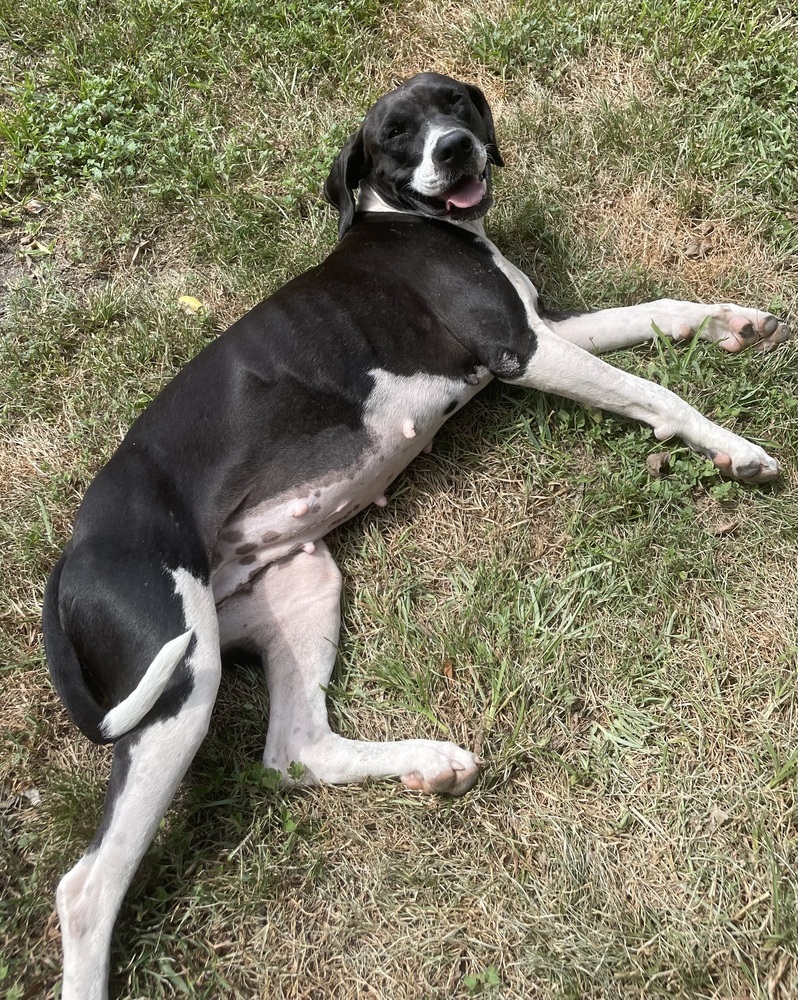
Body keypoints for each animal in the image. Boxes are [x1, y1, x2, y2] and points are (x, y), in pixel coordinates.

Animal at [47, 74, 792, 996]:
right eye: (396, 135)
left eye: (456, 105)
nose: (457, 150)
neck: (412, 221)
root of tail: (70, 561)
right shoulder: (522, 350)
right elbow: (660, 394)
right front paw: (736, 449)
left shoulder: (541, 331)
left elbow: (656, 309)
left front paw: (733, 322)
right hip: (178, 676)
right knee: (87, 887)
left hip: (302, 589)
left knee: (296, 750)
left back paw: (426, 761)